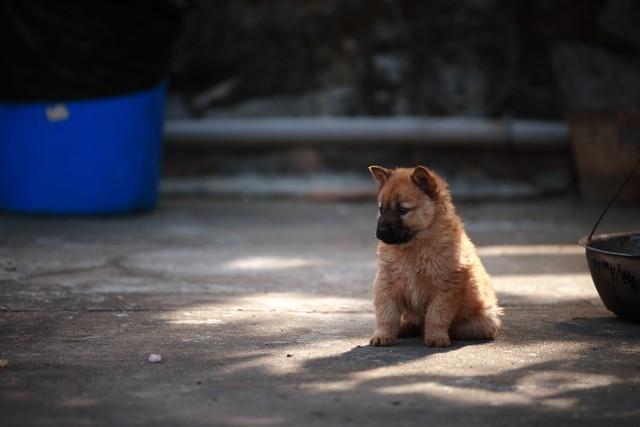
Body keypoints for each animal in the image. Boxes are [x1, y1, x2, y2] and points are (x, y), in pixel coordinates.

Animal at [368, 165, 501, 348]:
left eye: (402, 210)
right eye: (381, 209)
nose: (380, 232)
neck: (414, 247)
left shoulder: (446, 286)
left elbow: (436, 315)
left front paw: (436, 337)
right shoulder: (386, 282)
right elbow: (387, 314)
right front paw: (382, 336)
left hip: (485, 320)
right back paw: (404, 329)